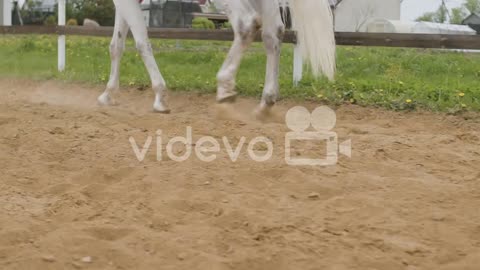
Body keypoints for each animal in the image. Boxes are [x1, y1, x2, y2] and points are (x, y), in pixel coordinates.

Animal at [97, 0, 336, 114]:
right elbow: (116, 45)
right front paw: (107, 94)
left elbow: (141, 43)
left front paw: (160, 98)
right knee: (273, 32)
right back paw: (265, 102)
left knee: (247, 24)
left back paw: (225, 85)